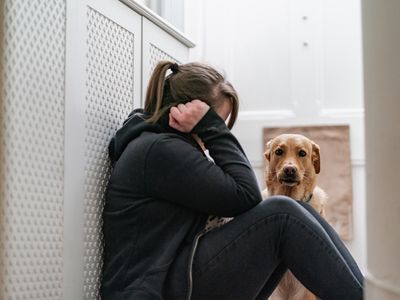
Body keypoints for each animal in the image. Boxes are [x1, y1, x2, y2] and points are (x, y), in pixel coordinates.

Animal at [262, 135, 328, 300]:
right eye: (279, 151)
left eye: (302, 153)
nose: (290, 169)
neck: (290, 196)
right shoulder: (274, 292)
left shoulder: (305, 290)